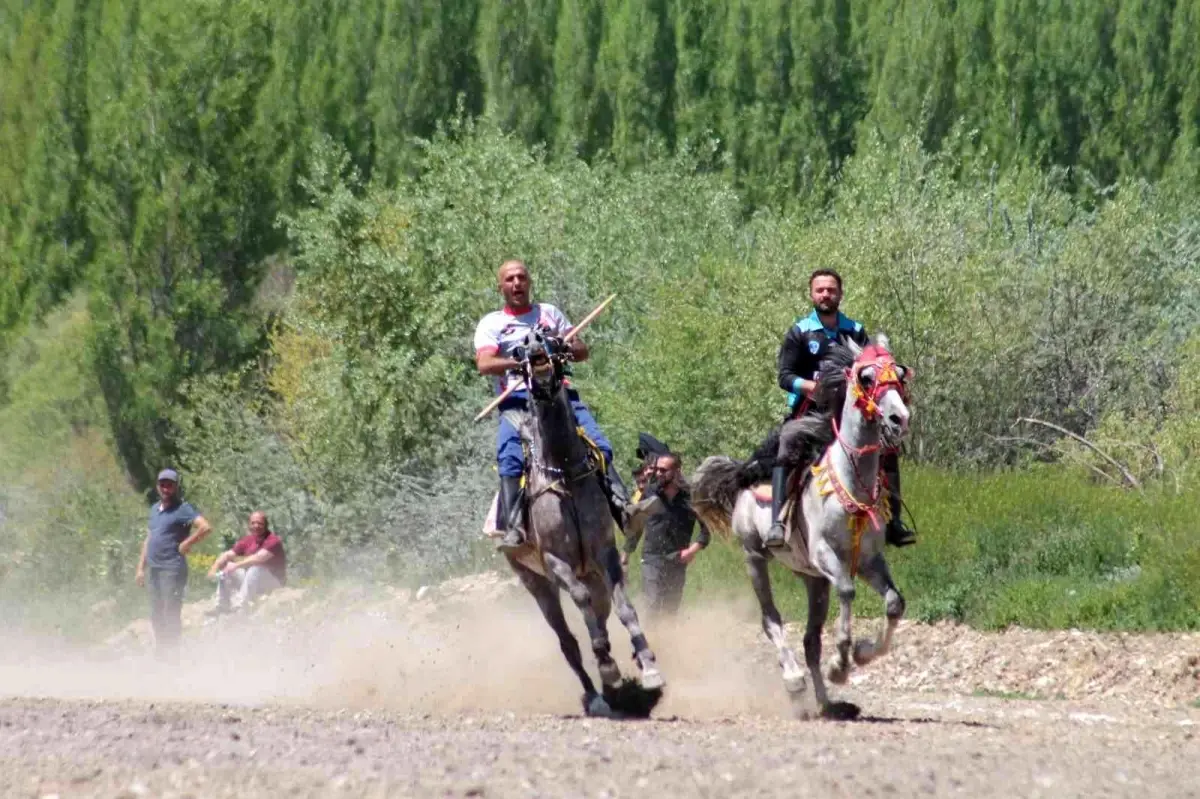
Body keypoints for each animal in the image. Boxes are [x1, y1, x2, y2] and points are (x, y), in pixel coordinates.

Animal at [499, 328, 667, 715]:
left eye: (549, 335)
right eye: (518, 348)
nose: (534, 344)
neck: (563, 470)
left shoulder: (604, 552)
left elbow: (626, 609)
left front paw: (648, 664)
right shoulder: (554, 561)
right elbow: (580, 602)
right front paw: (606, 665)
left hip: (590, 572)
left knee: (600, 613)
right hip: (535, 583)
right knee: (568, 641)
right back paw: (596, 694)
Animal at [696, 333, 907, 719]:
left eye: (899, 373)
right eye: (867, 376)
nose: (899, 418)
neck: (849, 482)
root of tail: (744, 476)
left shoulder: (869, 559)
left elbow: (894, 603)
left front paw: (861, 654)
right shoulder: (825, 554)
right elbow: (847, 591)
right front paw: (841, 664)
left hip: (811, 579)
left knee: (810, 641)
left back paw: (827, 704)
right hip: (754, 557)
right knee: (771, 620)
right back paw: (794, 681)